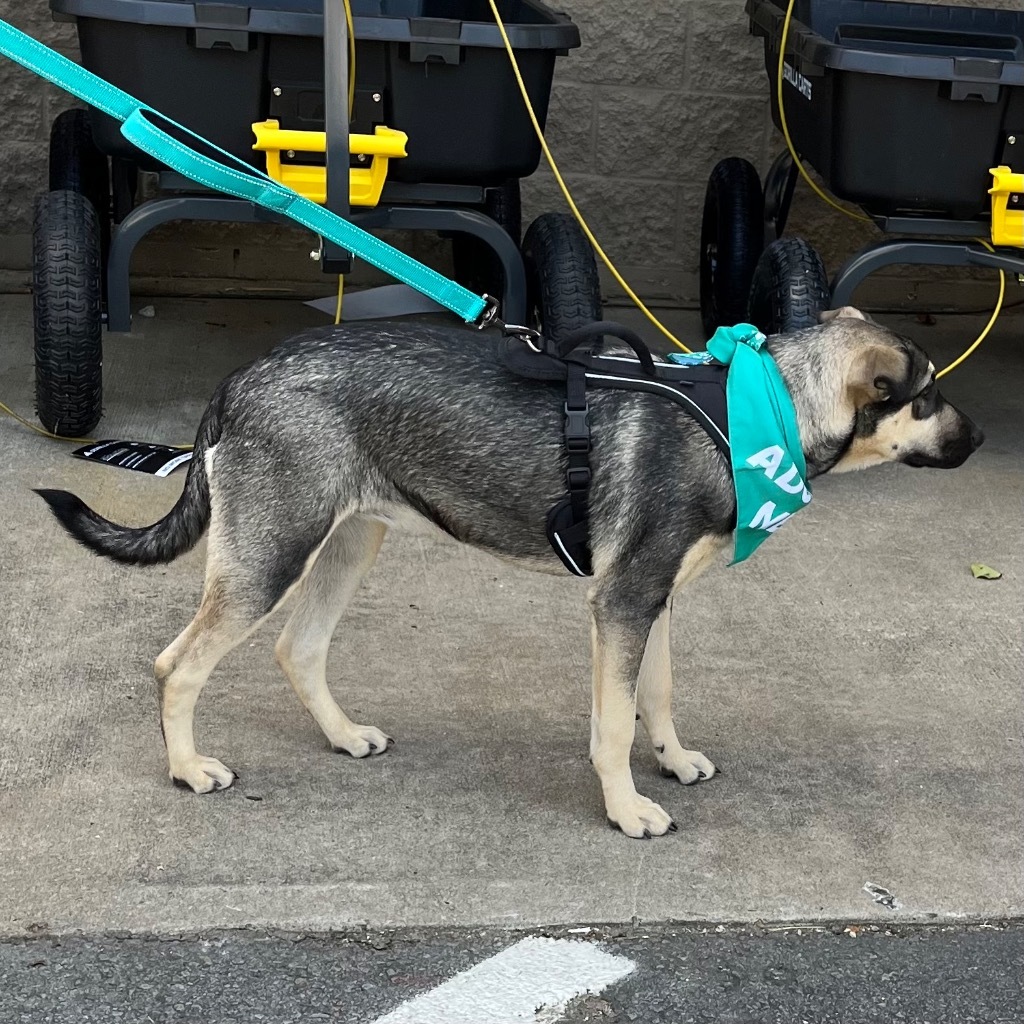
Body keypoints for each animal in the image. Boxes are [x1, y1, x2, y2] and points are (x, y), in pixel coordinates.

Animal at [37, 307, 983, 835]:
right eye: (929, 395)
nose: (979, 440)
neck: (759, 408)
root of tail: (238, 380)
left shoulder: (652, 602)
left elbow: (658, 700)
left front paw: (673, 761)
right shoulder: (622, 603)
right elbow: (612, 725)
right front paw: (626, 810)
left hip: (349, 543)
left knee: (297, 650)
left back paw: (343, 736)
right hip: (273, 557)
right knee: (177, 665)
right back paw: (188, 769)